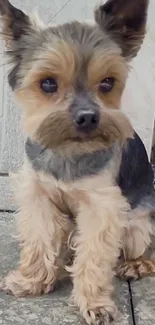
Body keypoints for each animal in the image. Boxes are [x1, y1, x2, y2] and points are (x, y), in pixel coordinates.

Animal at [0, 0, 155, 322]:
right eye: (47, 83)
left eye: (108, 83)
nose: (87, 117)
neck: (68, 151)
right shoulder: (39, 194)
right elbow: (39, 238)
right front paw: (31, 281)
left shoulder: (102, 206)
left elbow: (94, 255)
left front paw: (94, 304)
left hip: (138, 225)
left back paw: (135, 265)